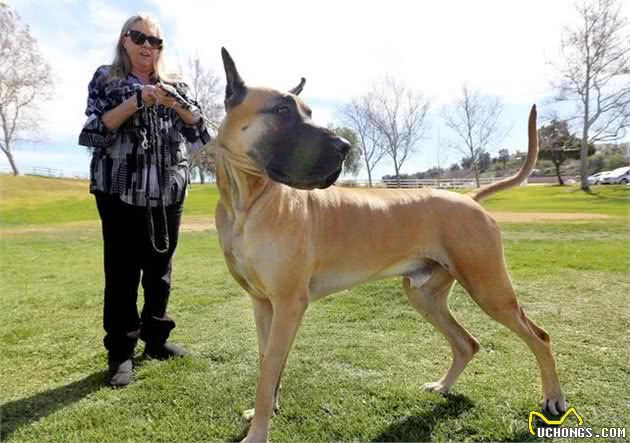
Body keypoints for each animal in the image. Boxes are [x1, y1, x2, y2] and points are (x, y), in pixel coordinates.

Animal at [216, 48, 568, 443]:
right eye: (281, 110)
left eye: (308, 112)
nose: (344, 146)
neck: (247, 202)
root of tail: (469, 197)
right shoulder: (263, 304)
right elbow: (268, 365)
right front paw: (265, 413)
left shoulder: (289, 304)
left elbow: (268, 373)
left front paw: (258, 432)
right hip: (424, 294)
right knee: (467, 342)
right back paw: (444, 386)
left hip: (489, 287)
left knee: (540, 336)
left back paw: (553, 397)